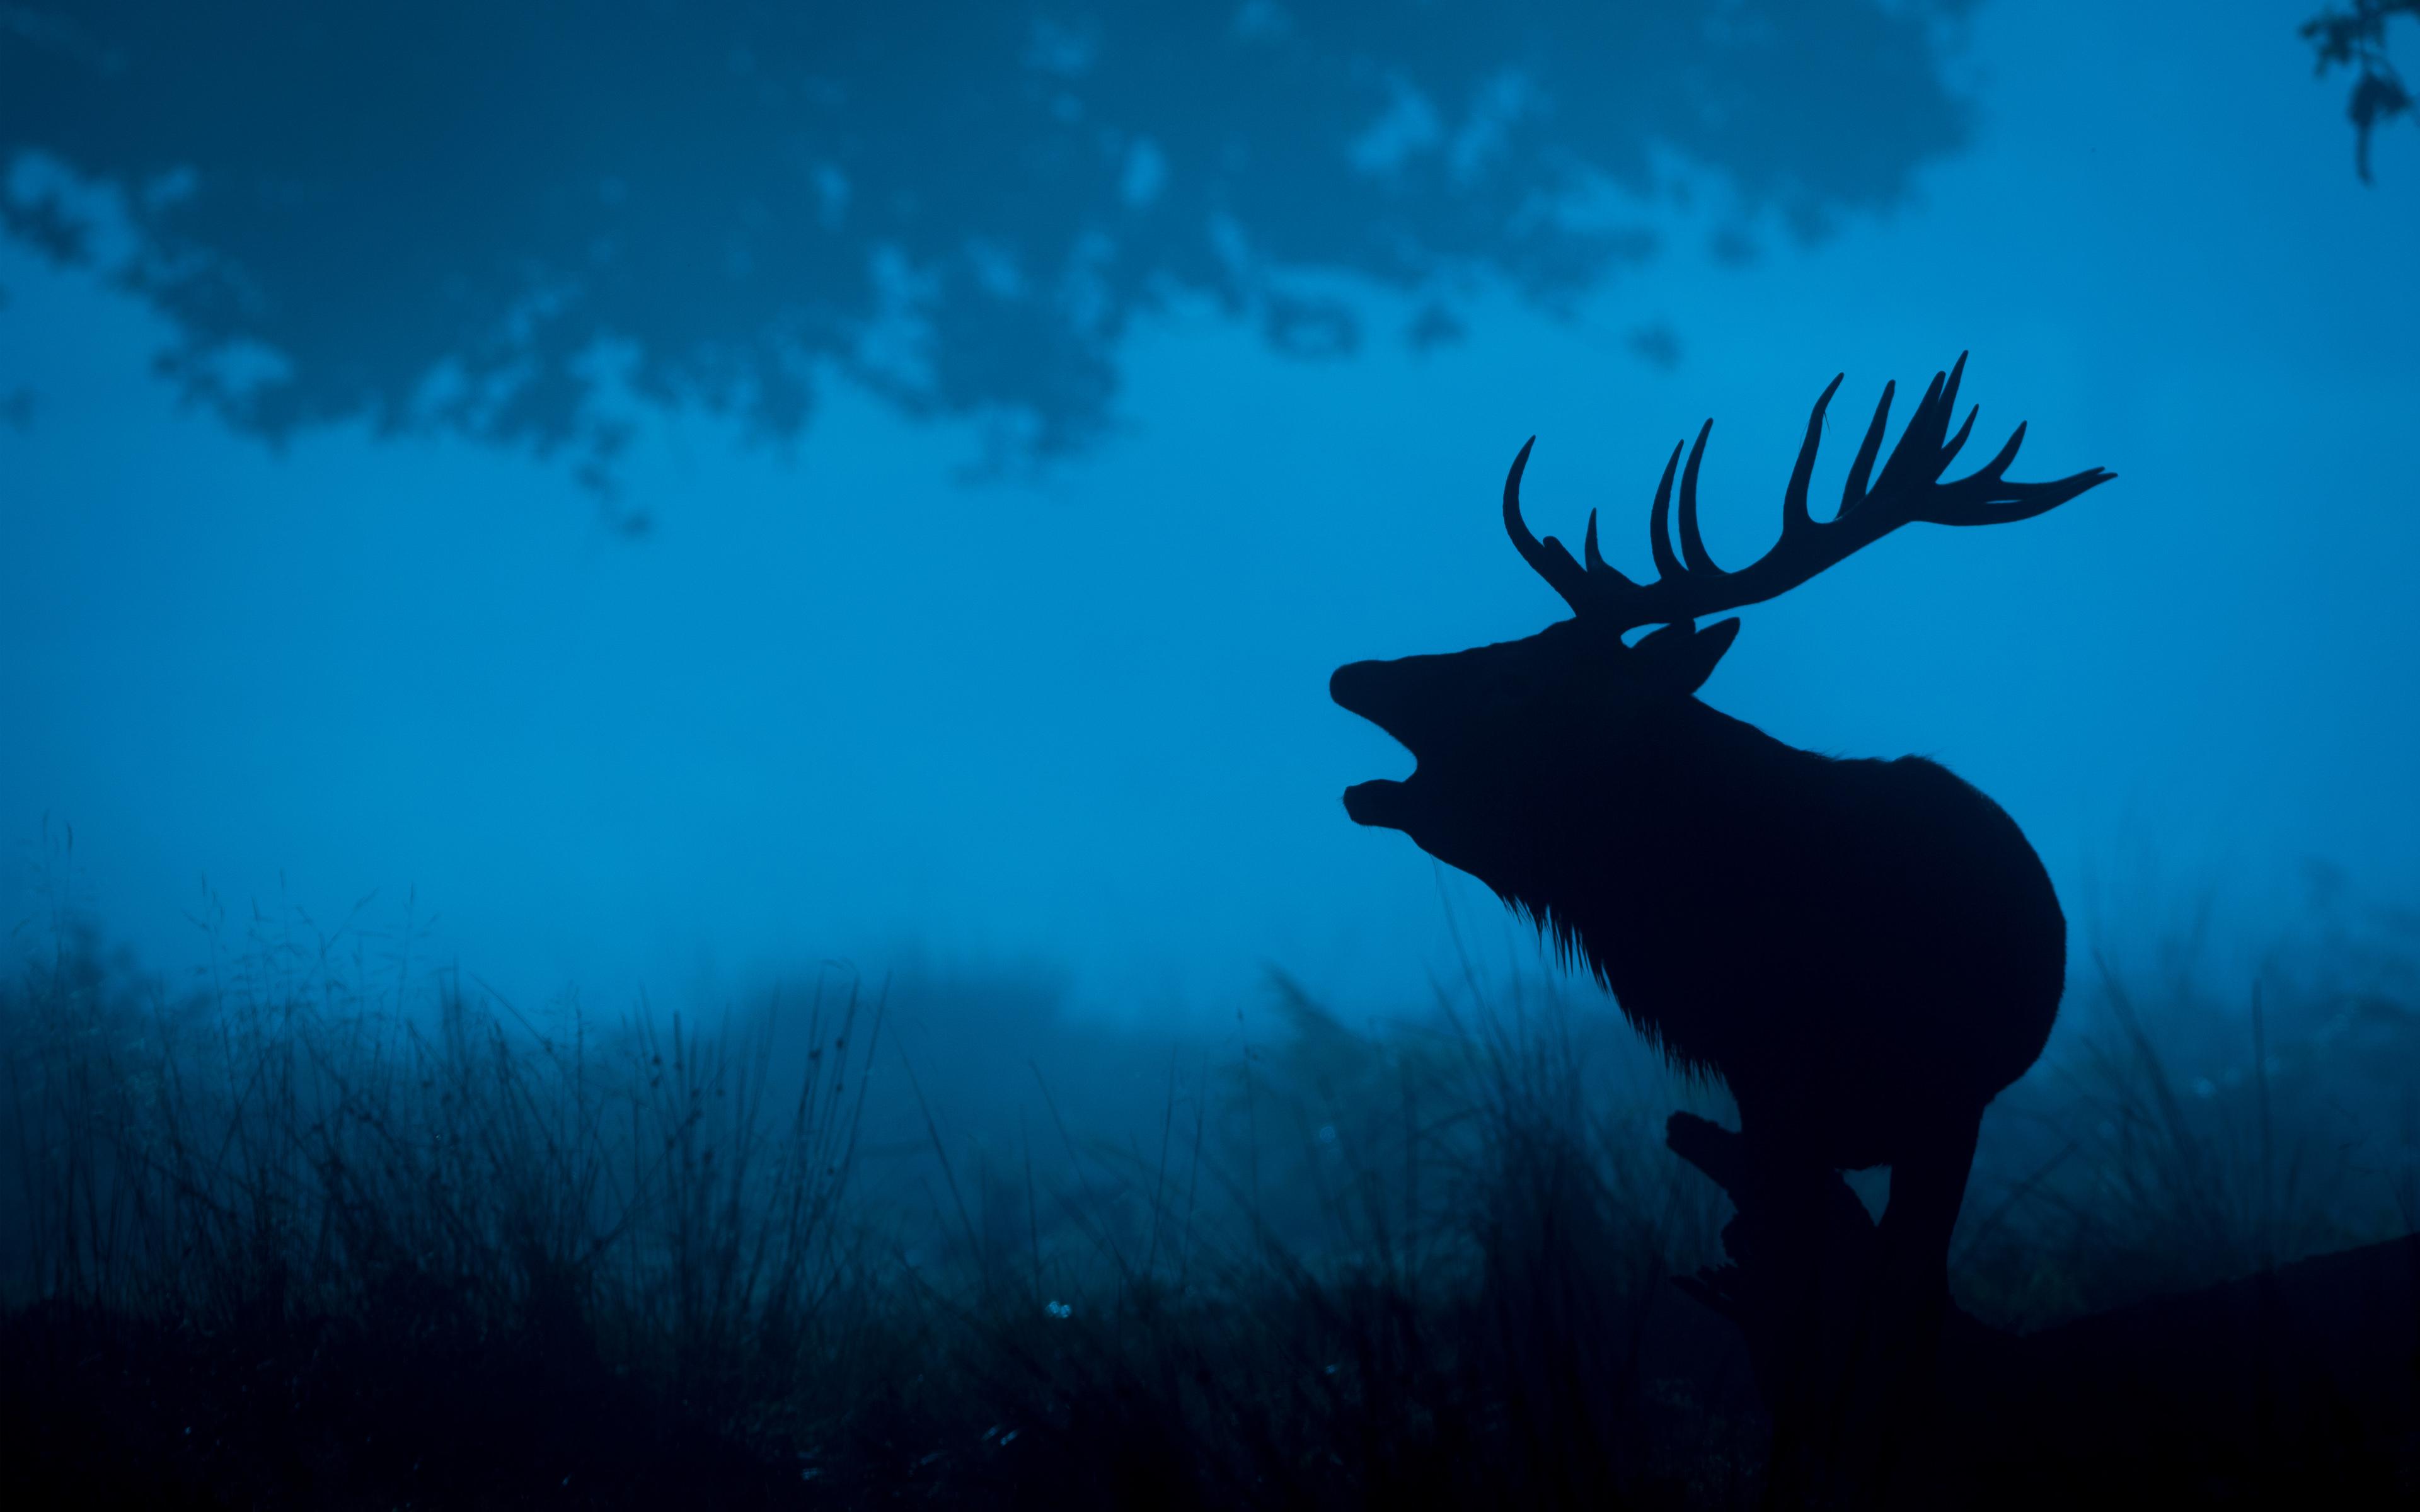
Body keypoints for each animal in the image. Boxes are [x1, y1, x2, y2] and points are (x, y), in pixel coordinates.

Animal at [1329, 354, 2112, 1455]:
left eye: (1518, 677)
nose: (1354, 674)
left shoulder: (1941, 1105)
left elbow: (1892, 1319)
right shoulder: (1768, 1097)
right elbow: (1793, 1332)